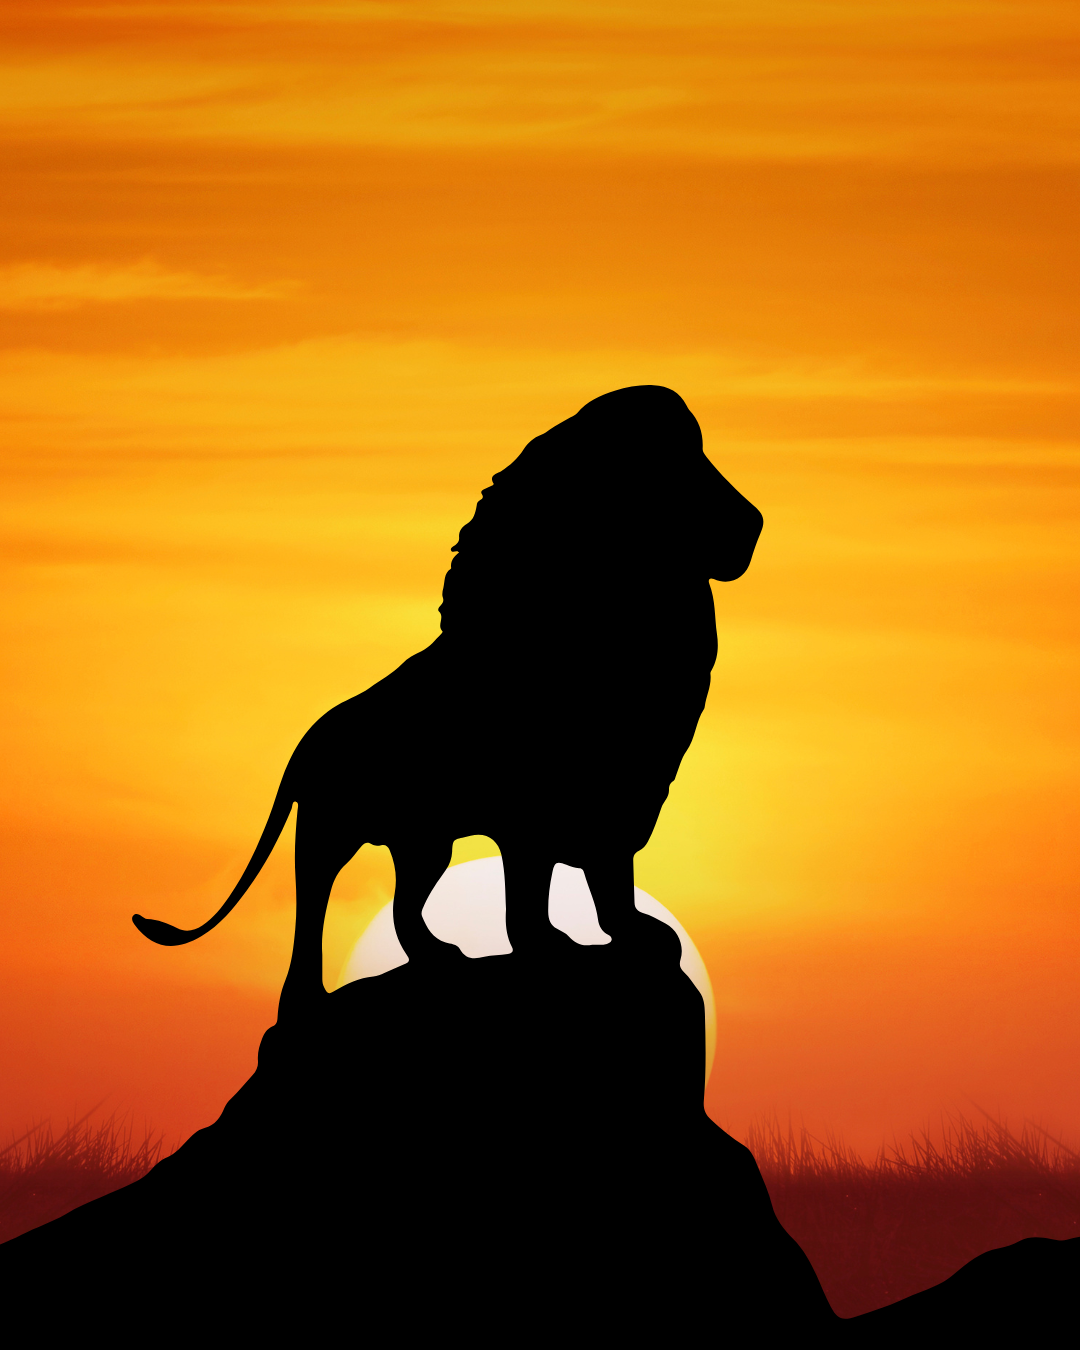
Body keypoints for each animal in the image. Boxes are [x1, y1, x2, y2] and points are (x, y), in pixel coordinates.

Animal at [134, 386, 763, 1016]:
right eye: (677, 468)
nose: (753, 525)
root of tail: (307, 744)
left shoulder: (620, 800)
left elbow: (608, 879)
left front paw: (631, 933)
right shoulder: (532, 814)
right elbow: (532, 891)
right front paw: (551, 948)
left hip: (424, 840)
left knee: (404, 908)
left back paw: (439, 957)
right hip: (329, 831)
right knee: (313, 905)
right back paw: (303, 999)